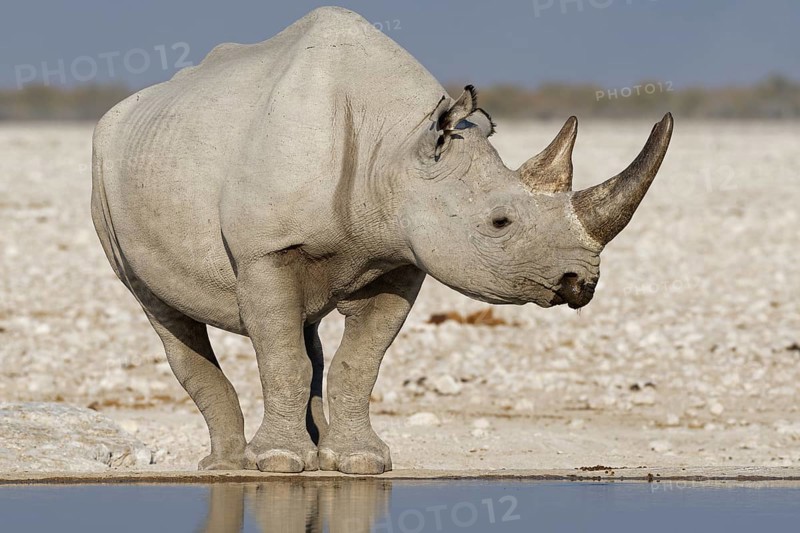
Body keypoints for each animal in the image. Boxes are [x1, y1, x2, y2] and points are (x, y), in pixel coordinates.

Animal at [91, 6, 672, 474]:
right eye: (500, 222)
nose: (582, 283)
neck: (395, 145)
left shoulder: (401, 256)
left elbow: (359, 363)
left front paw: (360, 463)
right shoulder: (266, 252)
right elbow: (281, 358)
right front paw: (278, 463)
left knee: (305, 334)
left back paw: (310, 452)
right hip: (107, 172)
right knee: (162, 311)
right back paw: (229, 466)